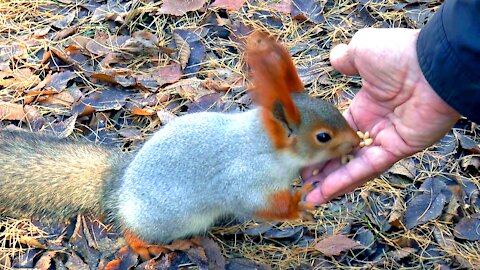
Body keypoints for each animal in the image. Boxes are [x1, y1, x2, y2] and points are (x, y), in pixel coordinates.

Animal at [0, 31, 360, 260]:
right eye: (323, 136)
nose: (357, 143)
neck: (265, 147)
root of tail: (118, 186)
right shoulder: (243, 179)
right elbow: (254, 203)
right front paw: (297, 206)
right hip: (164, 218)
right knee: (131, 228)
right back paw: (141, 245)